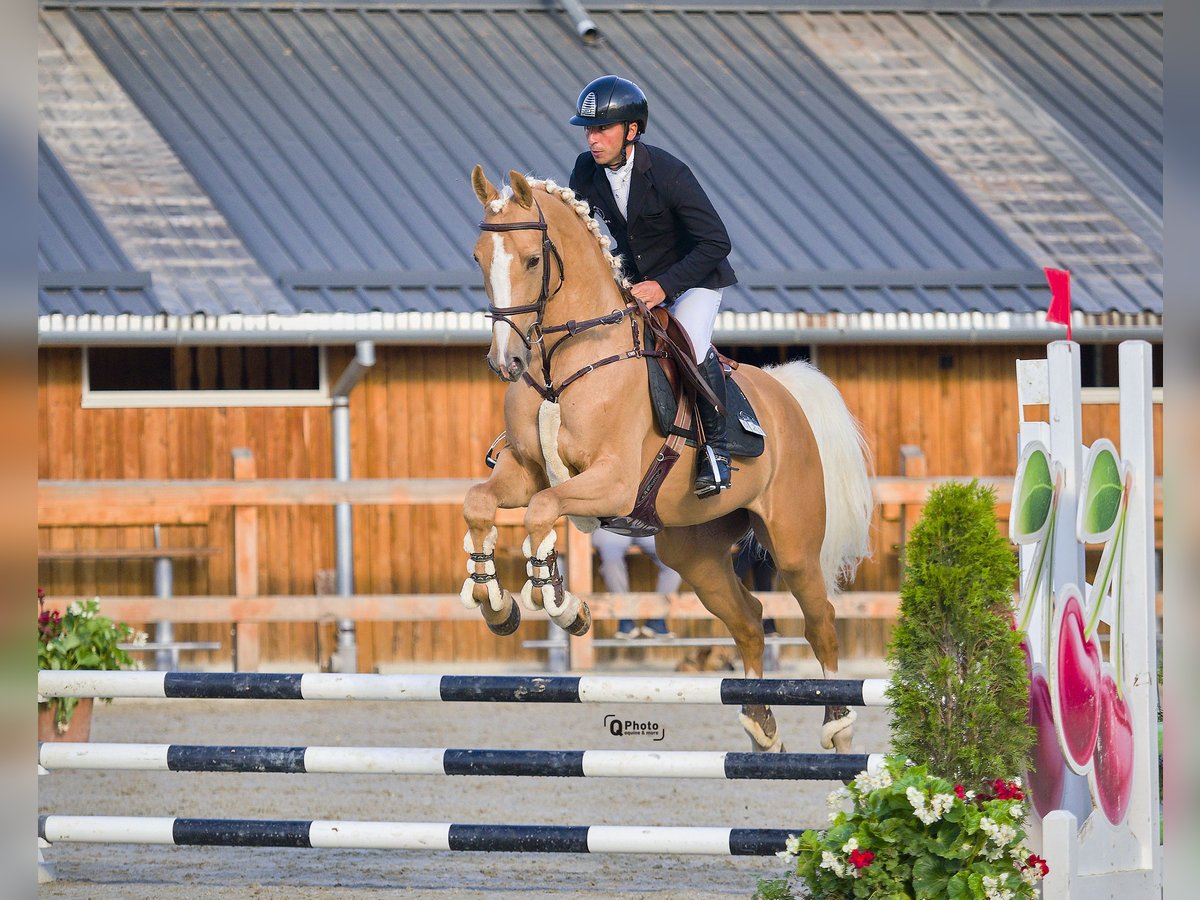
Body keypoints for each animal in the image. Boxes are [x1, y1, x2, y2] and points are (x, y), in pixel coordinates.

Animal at [458, 168, 873, 753]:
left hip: (791, 544)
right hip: (693, 554)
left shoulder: (610, 482)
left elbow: (542, 511)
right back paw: (761, 724)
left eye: (533, 260)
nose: (506, 362)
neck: (564, 362)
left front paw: (563, 605)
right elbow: (482, 504)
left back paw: (837, 725)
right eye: (479, 257)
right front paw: (496, 602)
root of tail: (785, 395)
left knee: (821, 620)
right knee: (749, 619)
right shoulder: (523, 472)